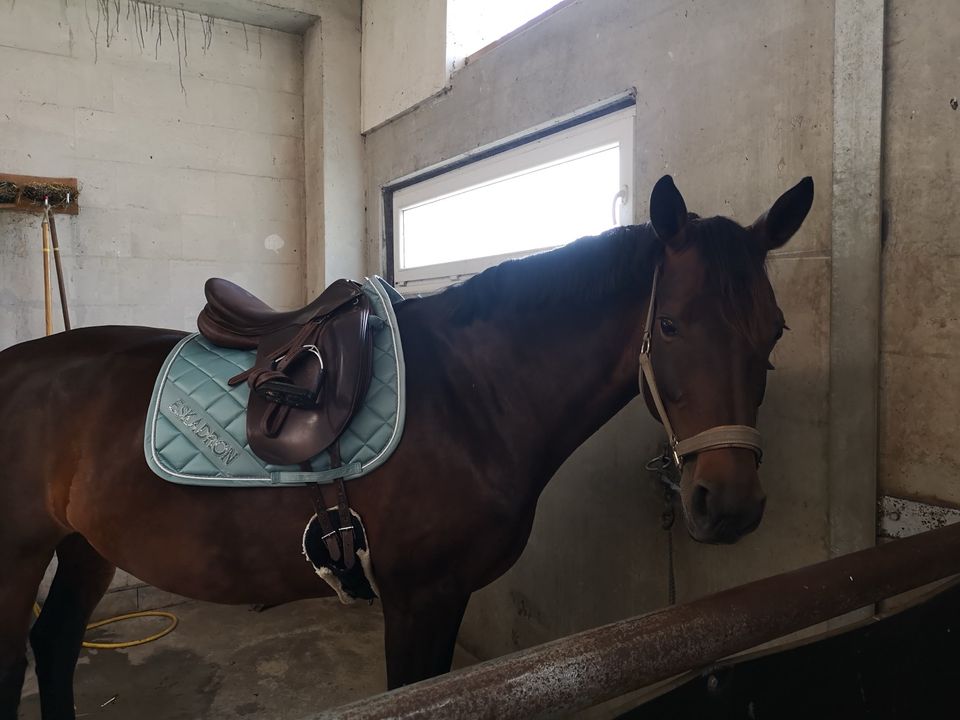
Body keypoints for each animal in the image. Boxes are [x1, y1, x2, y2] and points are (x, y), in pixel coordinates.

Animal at [0, 173, 812, 716]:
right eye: (669, 325)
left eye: (774, 331)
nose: (729, 504)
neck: (473, 392)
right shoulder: (420, 597)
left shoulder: (442, 600)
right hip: (21, 556)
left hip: (87, 544)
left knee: (56, 644)